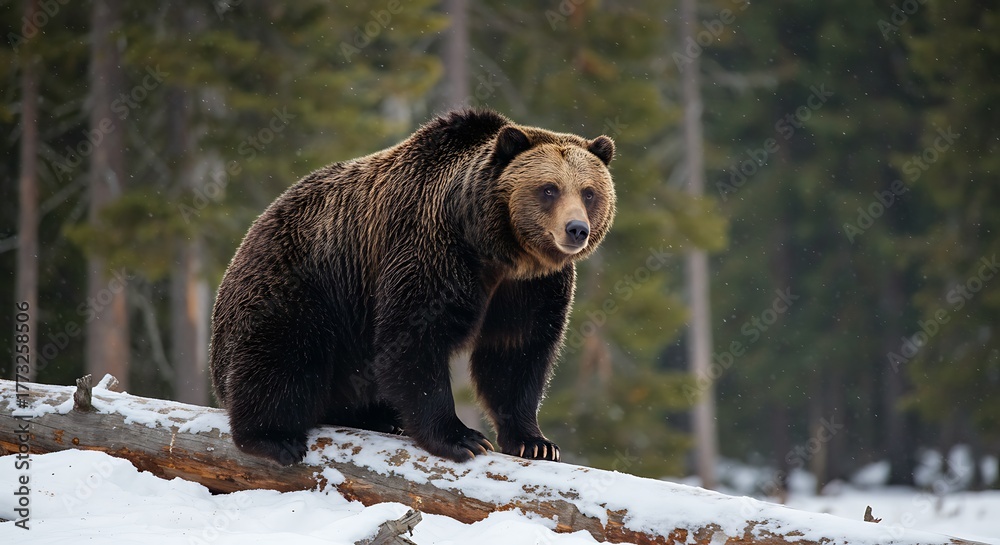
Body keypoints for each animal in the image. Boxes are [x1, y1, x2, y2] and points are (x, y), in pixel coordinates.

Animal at [209, 109, 616, 466]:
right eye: (549, 189)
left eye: (589, 192)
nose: (576, 229)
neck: (497, 249)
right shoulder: (430, 249)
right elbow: (416, 340)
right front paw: (462, 438)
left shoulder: (530, 287)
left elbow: (516, 353)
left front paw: (536, 442)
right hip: (299, 285)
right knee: (282, 356)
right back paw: (275, 438)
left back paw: (380, 418)